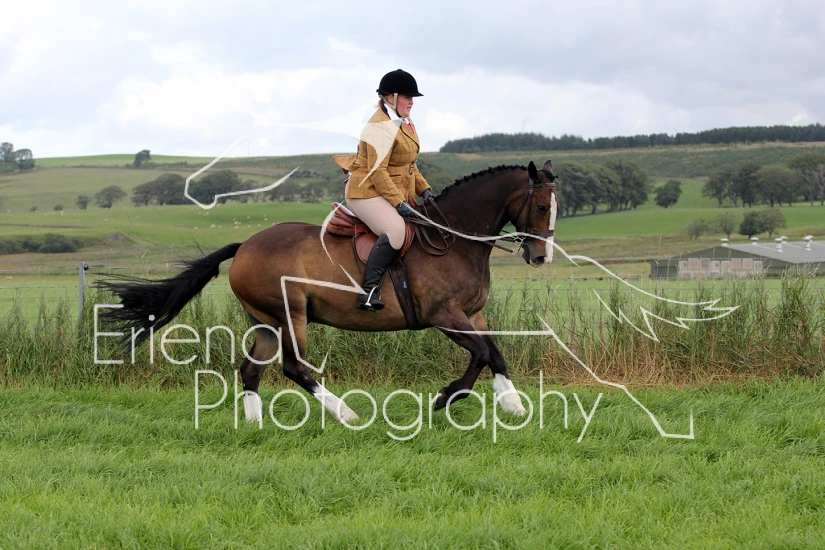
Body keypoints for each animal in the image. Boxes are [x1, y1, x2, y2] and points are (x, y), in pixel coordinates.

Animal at [98, 160, 558, 423]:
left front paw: (514, 407)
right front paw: (444, 399)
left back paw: (254, 425)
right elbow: (480, 354)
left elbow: (495, 353)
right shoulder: (444, 315)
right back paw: (347, 414)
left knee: (251, 371)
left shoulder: (472, 313)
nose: (540, 257)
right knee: (294, 368)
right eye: (540, 206)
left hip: (267, 322)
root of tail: (244, 245)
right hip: (291, 315)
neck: (454, 238)